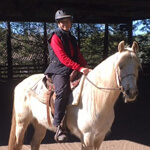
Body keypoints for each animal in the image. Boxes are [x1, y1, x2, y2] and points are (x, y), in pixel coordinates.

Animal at [8, 40, 140, 149]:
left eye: (137, 67)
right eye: (120, 66)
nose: (131, 92)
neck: (97, 99)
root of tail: (20, 84)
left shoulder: (99, 138)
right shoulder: (87, 138)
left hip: (40, 124)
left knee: (35, 143)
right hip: (21, 123)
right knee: (18, 144)